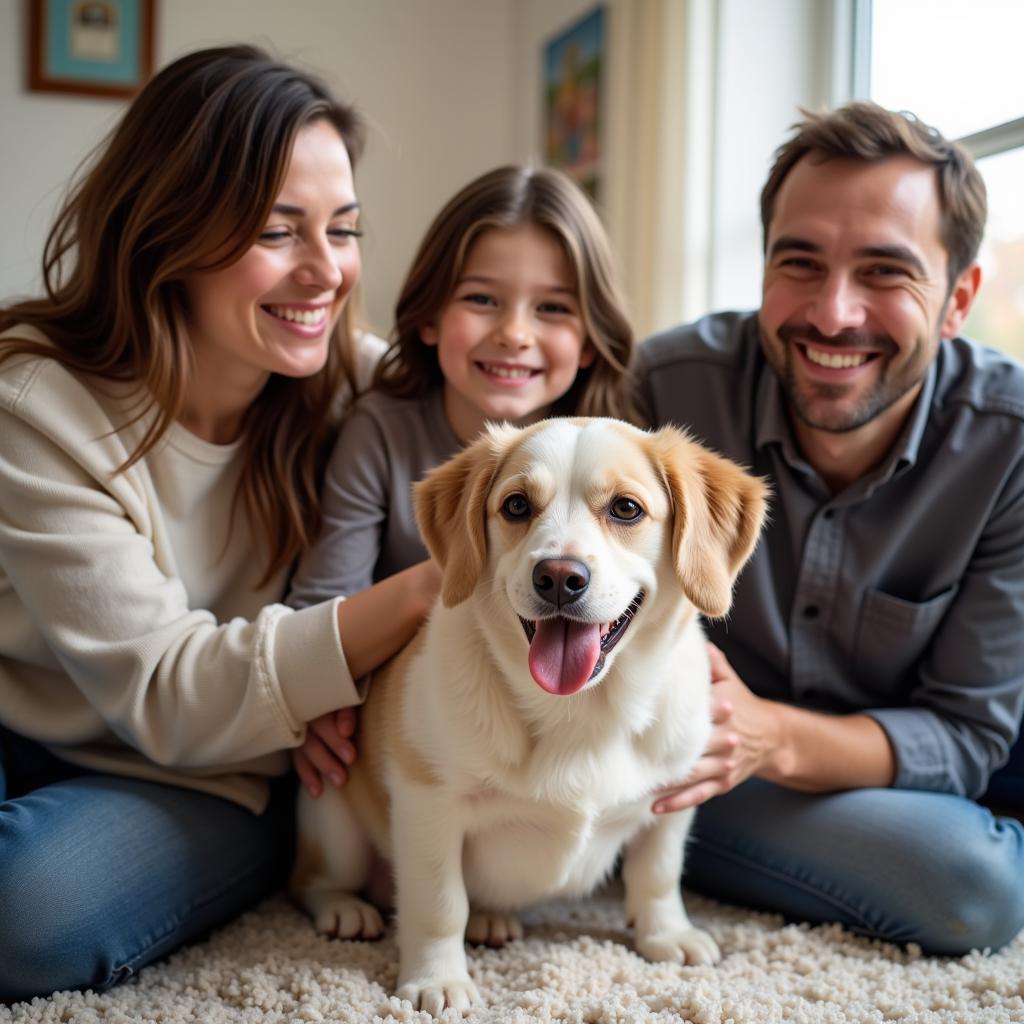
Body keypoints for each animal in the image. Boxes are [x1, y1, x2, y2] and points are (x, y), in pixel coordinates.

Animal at [292, 417, 765, 1015]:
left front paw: (666, 934)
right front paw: (436, 978)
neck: (580, 713)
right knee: (312, 880)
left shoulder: (674, 797)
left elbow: (658, 873)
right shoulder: (428, 804)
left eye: (626, 509)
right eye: (516, 505)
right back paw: (344, 909)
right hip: (336, 828)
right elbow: (438, 904)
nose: (559, 577)